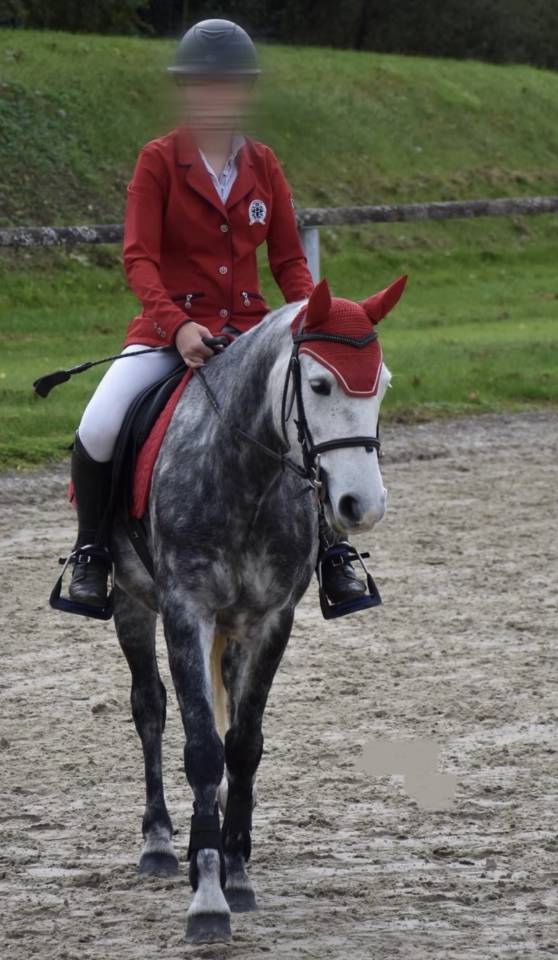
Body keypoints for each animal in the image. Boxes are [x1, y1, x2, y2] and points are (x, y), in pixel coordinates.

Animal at [110, 275, 406, 942]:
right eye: (319, 385)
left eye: (382, 384)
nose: (363, 506)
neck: (247, 474)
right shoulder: (185, 611)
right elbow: (200, 748)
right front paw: (207, 901)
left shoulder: (271, 620)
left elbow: (242, 744)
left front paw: (236, 874)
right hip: (130, 602)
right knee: (150, 708)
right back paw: (160, 843)